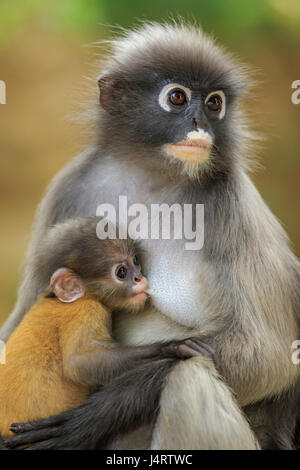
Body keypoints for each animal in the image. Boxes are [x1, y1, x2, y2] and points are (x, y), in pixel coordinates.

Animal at [0, 217, 209, 436]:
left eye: (135, 260)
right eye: (121, 272)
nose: (139, 278)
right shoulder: (87, 310)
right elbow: (79, 363)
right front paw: (172, 347)